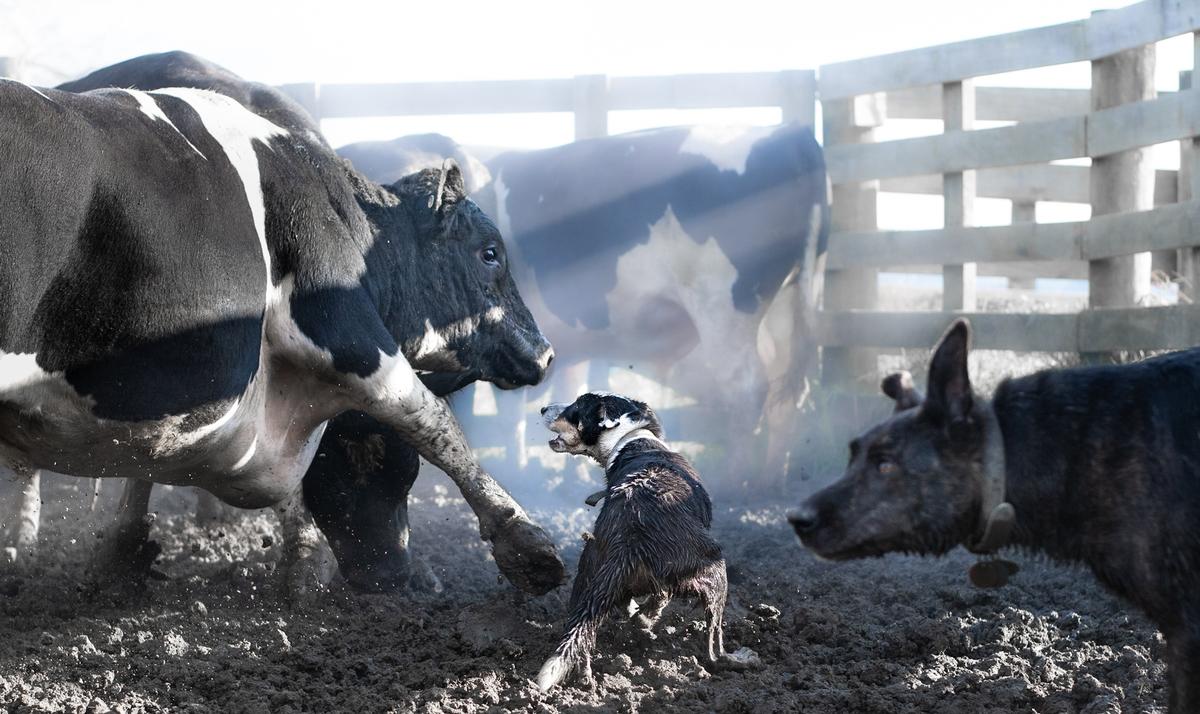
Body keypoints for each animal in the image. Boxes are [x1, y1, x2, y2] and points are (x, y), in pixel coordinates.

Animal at [0, 53, 564, 595]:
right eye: (490, 254)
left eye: (402, 473)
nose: (544, 352)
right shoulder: (345, 332)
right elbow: (431, 420)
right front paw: (526, 545)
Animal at [537, 393, 724, 691]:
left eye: (576, 406)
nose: (543, 408)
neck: (630, 439)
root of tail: (629, 537)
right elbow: (660, 598)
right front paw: (644, 619)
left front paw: (638, 617)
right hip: (715, 570)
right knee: (713, 637)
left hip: (587, 577)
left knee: (580, 637)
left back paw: (586, 678)